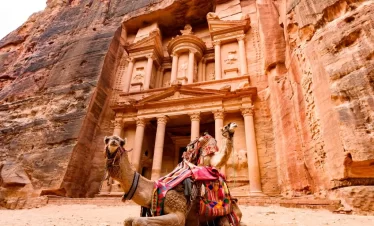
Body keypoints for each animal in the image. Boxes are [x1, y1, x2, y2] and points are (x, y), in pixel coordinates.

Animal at [103, 122, 241, 225]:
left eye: (121, 142)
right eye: (107, 140)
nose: (114, 141)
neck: (153, 188)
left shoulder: (178, 213)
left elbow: (138, 221)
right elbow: (129, 220)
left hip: (229, 216)